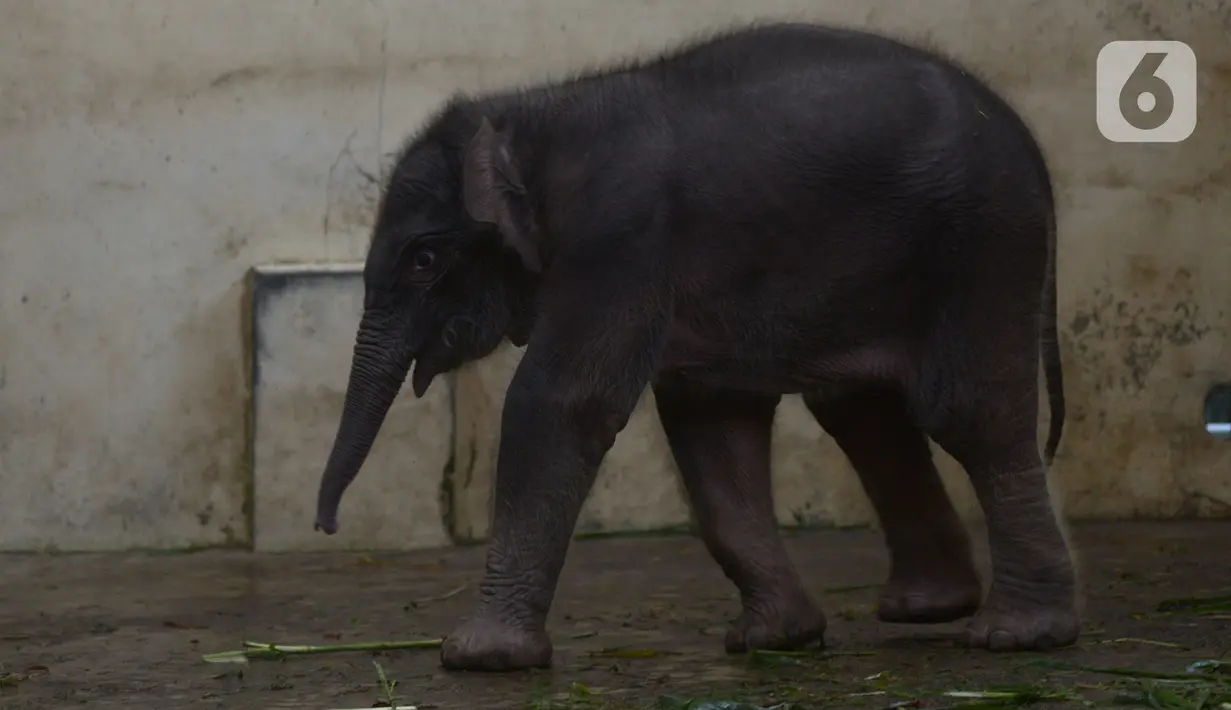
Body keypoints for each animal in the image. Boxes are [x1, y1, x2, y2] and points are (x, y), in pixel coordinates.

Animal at [312, 21, 1077, 672]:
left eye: (423, 259)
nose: (325, 527)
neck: (531, 115)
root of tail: (1029, 142)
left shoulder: (621, 238)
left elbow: (560, 404)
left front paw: (479, 658)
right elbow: (711, 421)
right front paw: (776, 639)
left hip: (981, 245)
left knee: (968, 415)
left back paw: (1018, 636)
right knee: (861, 409)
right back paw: (926, 608)